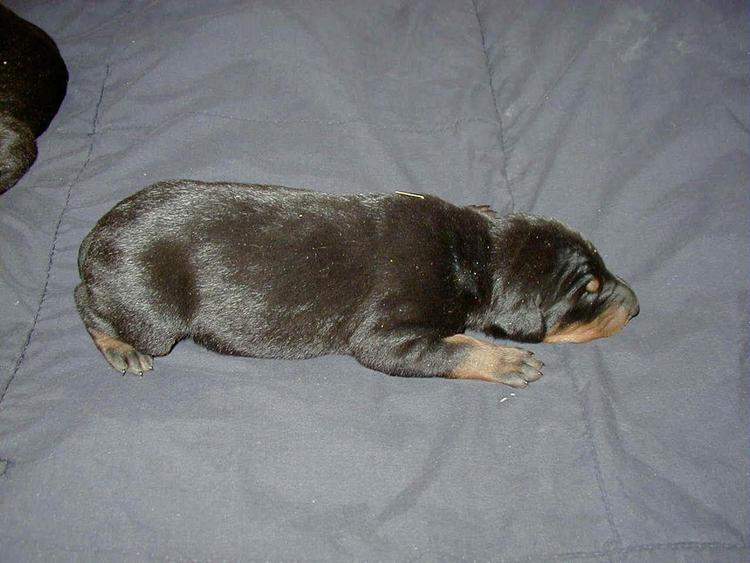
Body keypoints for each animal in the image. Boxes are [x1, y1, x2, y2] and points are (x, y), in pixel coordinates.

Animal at [75, 181, 640, 388]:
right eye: (589, 290)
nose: (636, 306)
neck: (475, 251)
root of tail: (92, 236)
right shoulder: (387, 335)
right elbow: (455, 346)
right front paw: (507, 361)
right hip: (152, 315)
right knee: (86, 304)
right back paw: (121, 349)